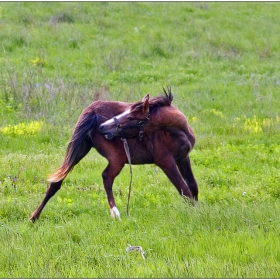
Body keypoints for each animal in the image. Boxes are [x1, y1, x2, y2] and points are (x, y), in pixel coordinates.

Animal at [29, 87, 198, 221]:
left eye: (130, 117)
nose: (104, 126)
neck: (177, 132)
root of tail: (92, 111)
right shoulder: (166, 162)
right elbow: (184, 189)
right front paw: (194, 215)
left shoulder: (183, 158)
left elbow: (192, 186)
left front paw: (199, 210)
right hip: (117, 159)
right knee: (107, 177)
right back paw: (115, 213)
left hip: (79, 150)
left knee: (56, 181)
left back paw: (34, 217)